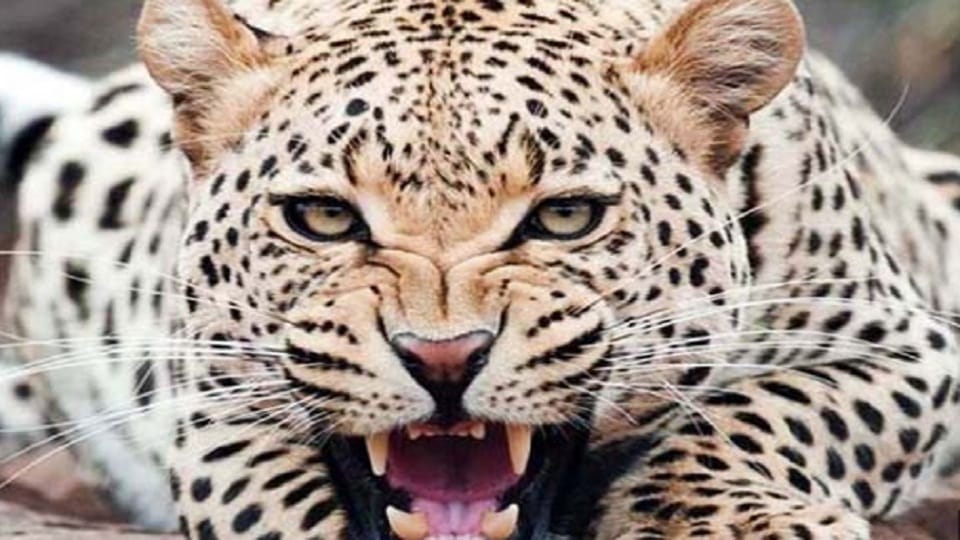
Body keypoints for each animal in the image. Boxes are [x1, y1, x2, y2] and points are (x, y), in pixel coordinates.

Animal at [1, 0, 960, 538]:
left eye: (565, 218)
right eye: (324, 217)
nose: (443, 359)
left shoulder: (908, 349)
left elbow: (758, 413)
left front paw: (739, 525)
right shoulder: (210, 405)